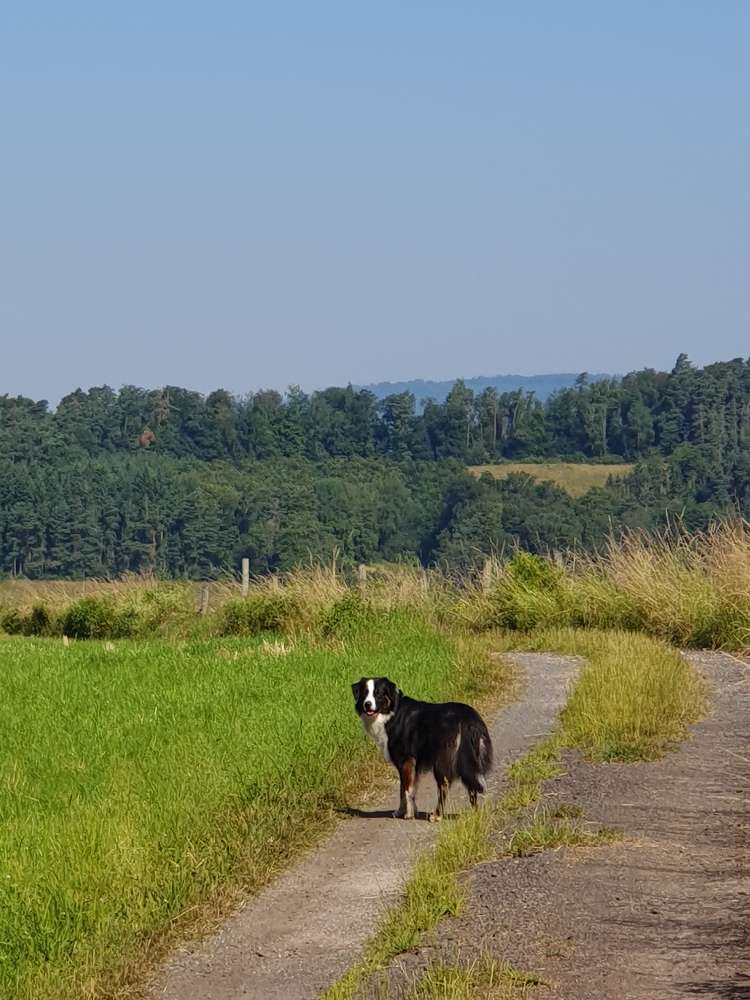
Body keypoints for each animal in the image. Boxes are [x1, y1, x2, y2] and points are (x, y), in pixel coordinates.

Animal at [352, 676, 494, 824]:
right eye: (365, 693)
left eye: (378, 694)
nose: (367, 704)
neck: (392, 712)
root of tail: (467, 718)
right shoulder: (412, 763)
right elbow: (406, 789)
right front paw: (404, 811)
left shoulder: (406, 759)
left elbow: (406, 789)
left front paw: (407, 814)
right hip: (471, 758)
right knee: (472, 785)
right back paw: (475, 814)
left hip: (442, 761)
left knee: (444, 787)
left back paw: (436, 815)